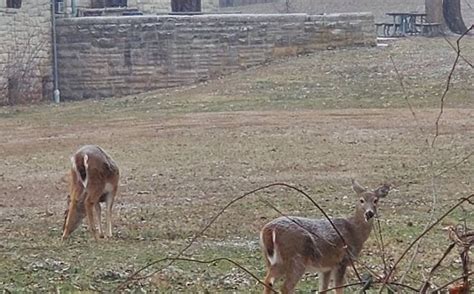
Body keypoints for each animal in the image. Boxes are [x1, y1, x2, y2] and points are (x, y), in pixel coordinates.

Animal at [260, 179, 388, 294]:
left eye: (376, 200)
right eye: (361, 200)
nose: (369, 213)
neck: (354, 231)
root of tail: (269, 230)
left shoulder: (326, 267)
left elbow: (323, 289)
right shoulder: (342, 261)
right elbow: (338, 288)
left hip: (272, 260)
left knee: (268, 280)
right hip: (295, 259)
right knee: (285, 287)